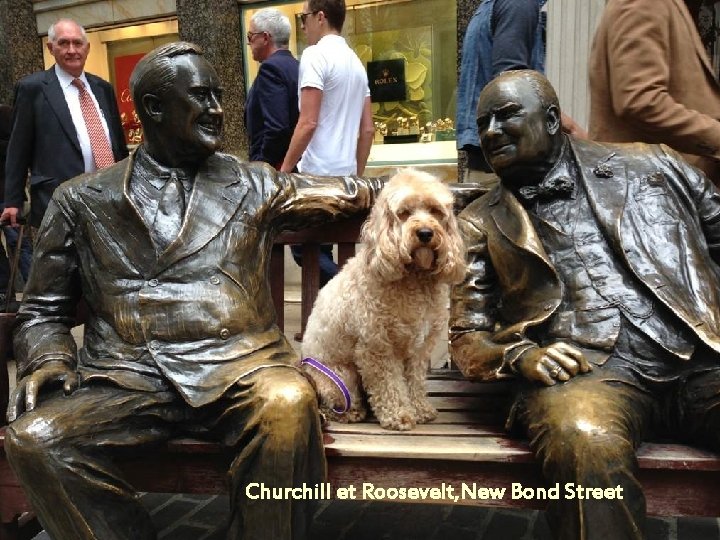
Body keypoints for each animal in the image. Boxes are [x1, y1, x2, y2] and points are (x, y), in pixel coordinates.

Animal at [300, 169, 464, 430]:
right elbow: (390, 385)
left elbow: (414, 382)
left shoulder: (418, 350)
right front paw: (399, 415)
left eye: (435, 211)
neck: (413, 277)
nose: (425, 233)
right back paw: (350, 412)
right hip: (341, 376)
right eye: (404, 212)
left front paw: (420, 409)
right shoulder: (377, 348)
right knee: (337, 400)